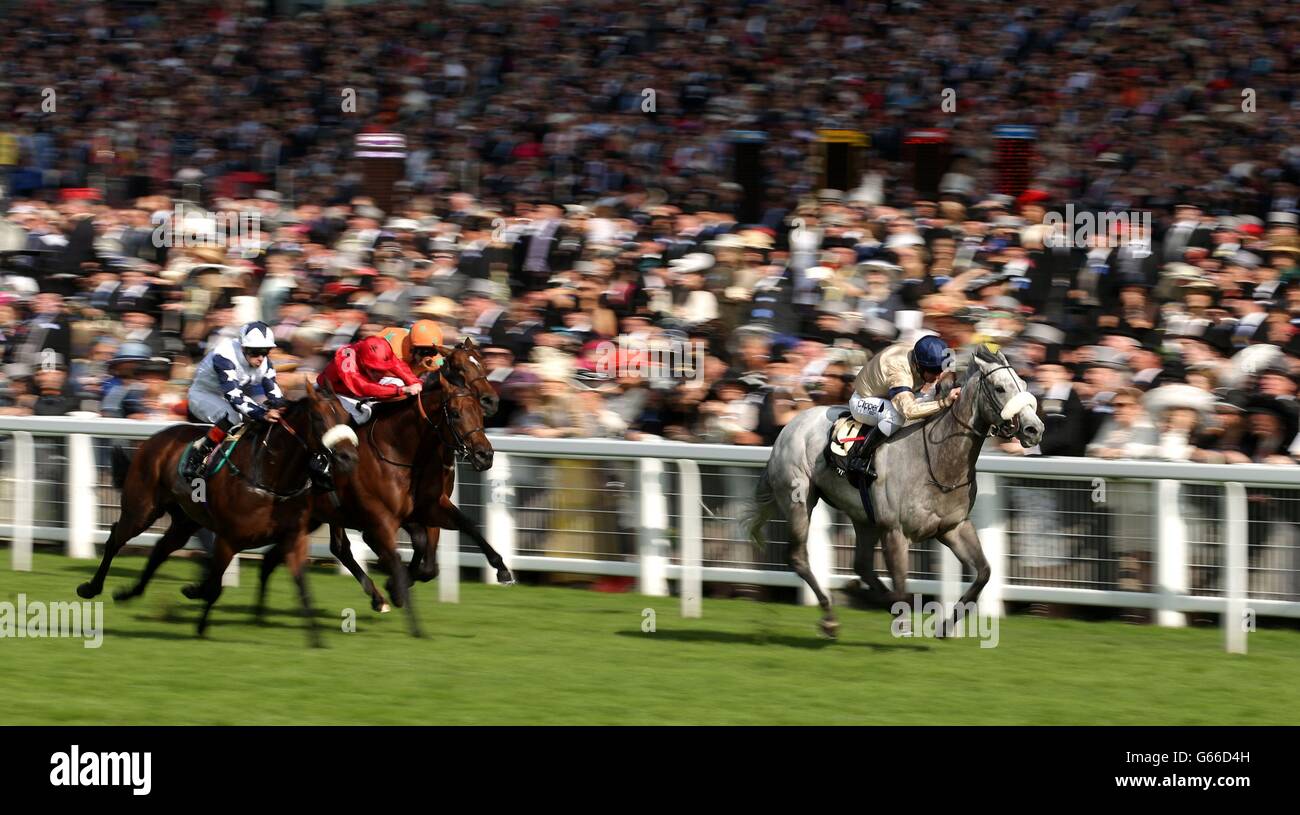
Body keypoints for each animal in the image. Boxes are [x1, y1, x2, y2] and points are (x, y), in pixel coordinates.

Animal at [76, 384, 361, 647]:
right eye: (319, 418)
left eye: (347, 418)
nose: (348, 457)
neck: (270, 477)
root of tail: (154, 439)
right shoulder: (228, 539)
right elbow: (215, 587)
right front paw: (201, 626)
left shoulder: (294, 538)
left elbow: (303, 586)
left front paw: (317, 640)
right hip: (141, 508)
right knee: (115, 538)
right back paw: (90, 587)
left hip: (185, 520)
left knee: (160, 549)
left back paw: (130, 593)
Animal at [748, 343, 1040, 636]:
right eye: (1000, 388)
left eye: (1023, 383)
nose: (1034, 429)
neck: (938, 460)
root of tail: (788, 428)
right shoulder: (895, 531)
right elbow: (901, 584)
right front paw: (904, 621)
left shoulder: (953, 526)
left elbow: (984, 573)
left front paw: (946, 625)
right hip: (799, 500)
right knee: (798, 557)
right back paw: (831, 617)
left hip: (863, 517)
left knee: (862, 565)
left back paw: (862, 594)